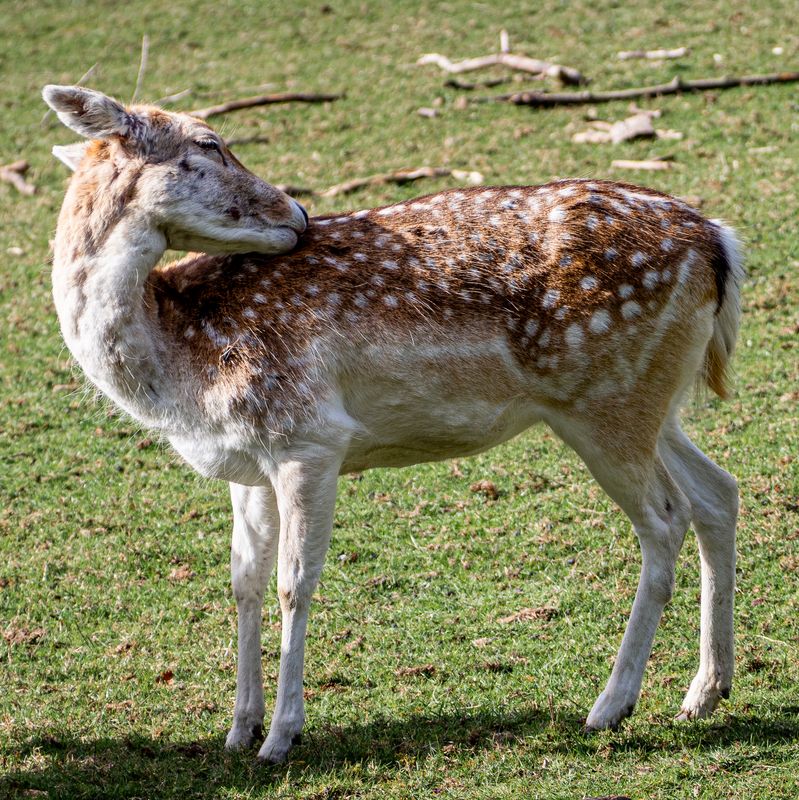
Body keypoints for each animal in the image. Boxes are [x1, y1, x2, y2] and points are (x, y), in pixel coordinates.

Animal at [43, 84, 743, 764]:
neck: (178, 360)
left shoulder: (309, 436)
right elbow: (244, 582)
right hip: (651, 401)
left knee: (666, 518)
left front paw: (280, 737)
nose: (298, 214)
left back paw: (611, 705)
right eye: (209, 144)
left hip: (605, 404)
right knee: (717, 492)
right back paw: (705, 692)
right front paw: (238, 729)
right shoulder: (247, 463)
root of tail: (720, 243)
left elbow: (294, 582)